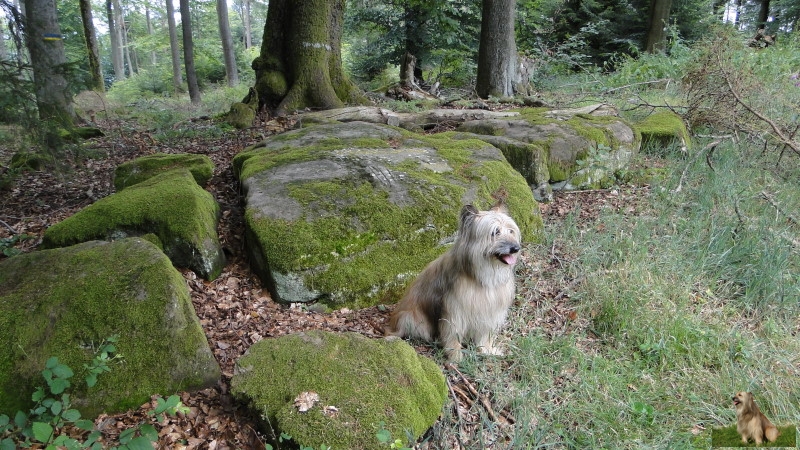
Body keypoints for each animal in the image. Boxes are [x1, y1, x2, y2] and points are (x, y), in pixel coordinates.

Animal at [386, 204, 520, 362]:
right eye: (495, 232)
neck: (482, 275)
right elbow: (453, 334)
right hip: (412, 318)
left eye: (511, 230)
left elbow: (485, 335)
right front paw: (456, 356)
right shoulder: (456, 310)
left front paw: (487, 350)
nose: (516, 248)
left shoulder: (489, 311)